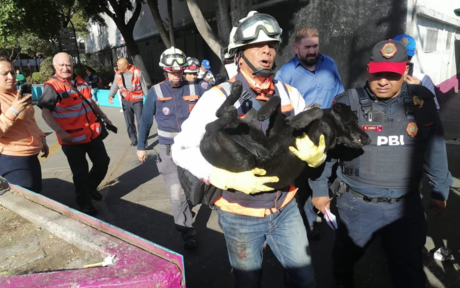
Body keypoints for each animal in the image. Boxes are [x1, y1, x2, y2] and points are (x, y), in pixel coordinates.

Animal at [136, 47, 202, 250]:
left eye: (179, 71)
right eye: (171, 71)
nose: (176, 75)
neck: (175, 88)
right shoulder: (150, 99)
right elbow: (146, 119)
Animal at [199, 80, 372, 189]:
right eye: (356, 119)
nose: (369, 139)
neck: (329, 125)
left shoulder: (317, 138)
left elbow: (316, 111)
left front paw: (300, 120)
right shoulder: (276, 129)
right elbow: (278, 97)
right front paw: (265, 111)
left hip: (244, 159)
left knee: (212, 126)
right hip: (248, 130)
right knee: (217, 118)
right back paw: (235, 95)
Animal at [310, 39, 452, 286]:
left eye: (391, 76)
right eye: (378, 75)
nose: (383, 83)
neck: (387, 102)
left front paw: (439, 197)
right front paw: (320, 198)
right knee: (344, 253)